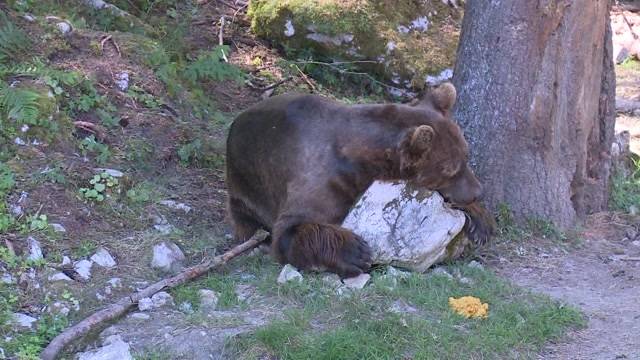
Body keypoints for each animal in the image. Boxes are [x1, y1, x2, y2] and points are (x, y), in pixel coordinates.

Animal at [225, 83, 496, 278]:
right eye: (450, 170)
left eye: (466, 155)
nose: (479, 191)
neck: (361, 160)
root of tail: (236, 121)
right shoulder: (323, 178)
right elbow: (291, 228)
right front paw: (356, 252)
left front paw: (480, 222)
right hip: (244, 183)